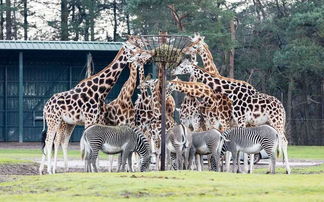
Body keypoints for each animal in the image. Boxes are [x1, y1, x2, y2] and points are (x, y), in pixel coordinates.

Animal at [38, 37, 143, 174]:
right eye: (133, 47)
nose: (142, 53)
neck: (100, 90)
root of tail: (45, 106)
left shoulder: (95, 119)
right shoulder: (89, 118)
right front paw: (89, 171)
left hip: (64, 122)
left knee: (57, 141)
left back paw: (53, 169)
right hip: (54, 120)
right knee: (50, 141)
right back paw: (49, 170)